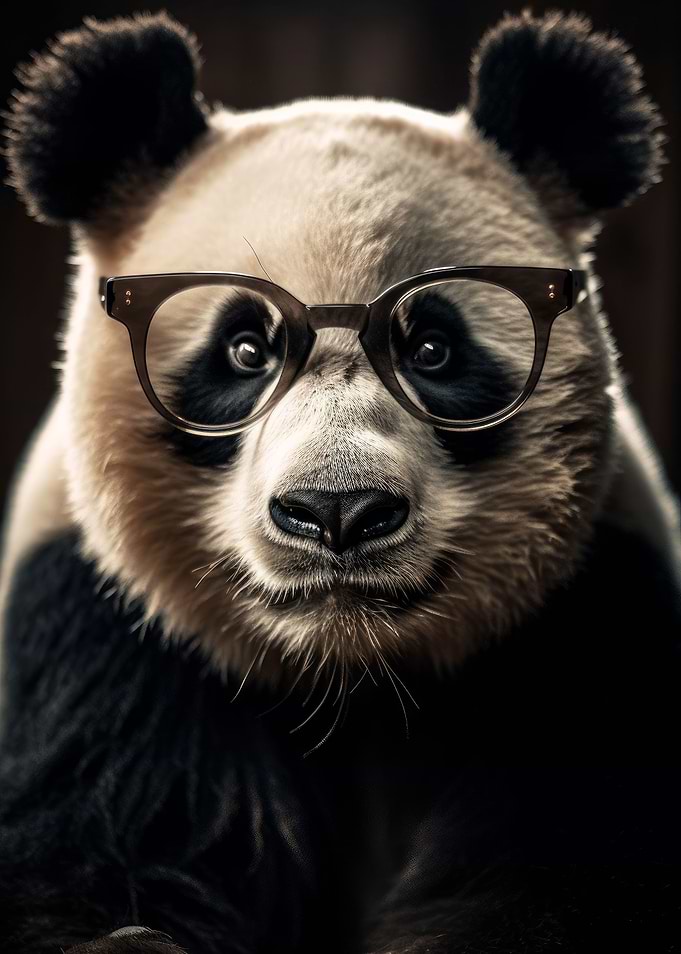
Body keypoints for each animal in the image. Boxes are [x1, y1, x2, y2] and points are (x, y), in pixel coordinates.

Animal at [1, 8, 680, 954]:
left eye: (430, 348)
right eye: (244, 349)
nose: (337, 511)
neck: (349, 679)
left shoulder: (595, 613)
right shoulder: (96, 642)